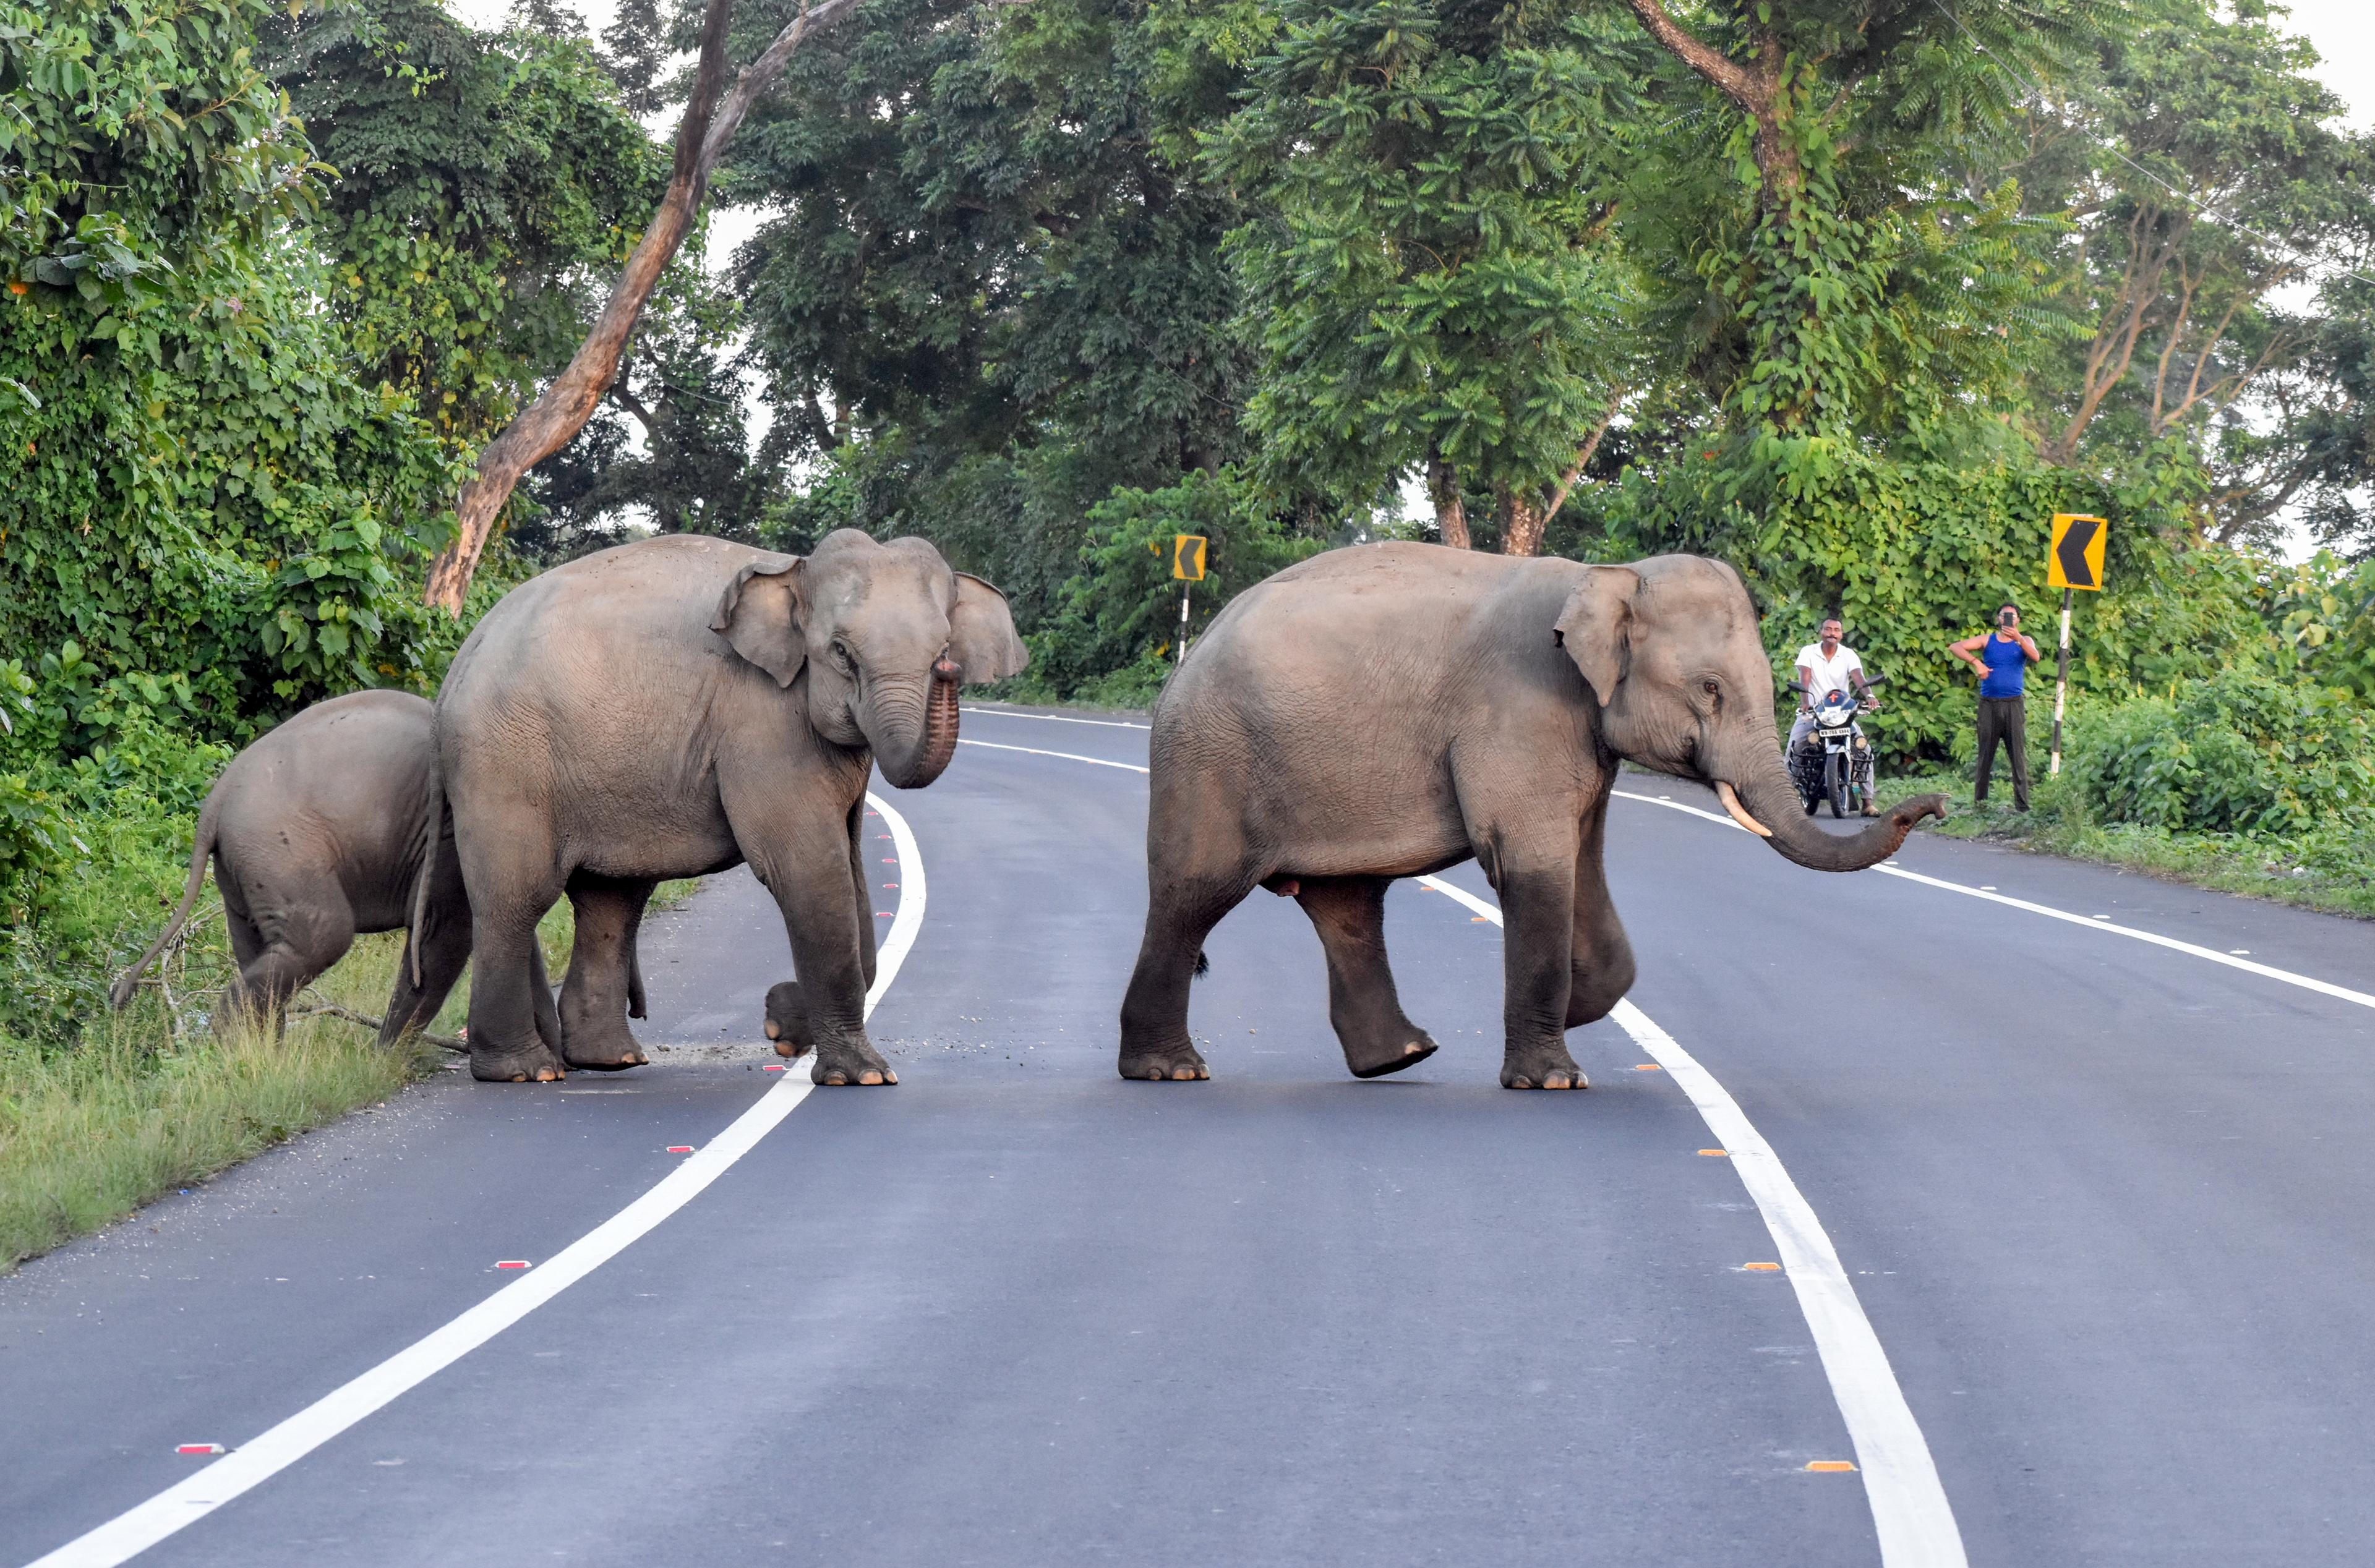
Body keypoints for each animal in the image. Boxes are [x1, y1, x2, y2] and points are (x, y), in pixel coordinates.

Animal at [108, 689, 494, 1044]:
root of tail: (214, 803)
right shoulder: (450, 830)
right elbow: (446, 924)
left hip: (243, 867)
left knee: (258, 946)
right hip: (280, 853)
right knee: (325, 936)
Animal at [434, 529, 1026, 1085]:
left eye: (943, 649)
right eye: (841, 652)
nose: (948, 670)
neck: (797, 571)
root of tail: (459, 661)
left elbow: (853, 873)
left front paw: (783, 1023)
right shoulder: (764, 717)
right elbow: (808, 869)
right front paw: (861, 1073)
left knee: (612, 901)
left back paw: (609, 1060)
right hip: (504, 763)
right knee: (518, 899)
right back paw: (524, 1070)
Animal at [1116, 544, 1948, 1089]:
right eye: (1710, 689)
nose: (1933, 806)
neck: (1606, 575)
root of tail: (1190, 655)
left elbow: (1584, 865)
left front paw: (1580, 1010)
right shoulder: (1520, 711)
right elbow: (1531, 863)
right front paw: (1553, 1077)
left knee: (1347, 907)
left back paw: (1402, 1058)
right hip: (1209, 759)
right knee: (1193, 896)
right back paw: (1170, 1070)